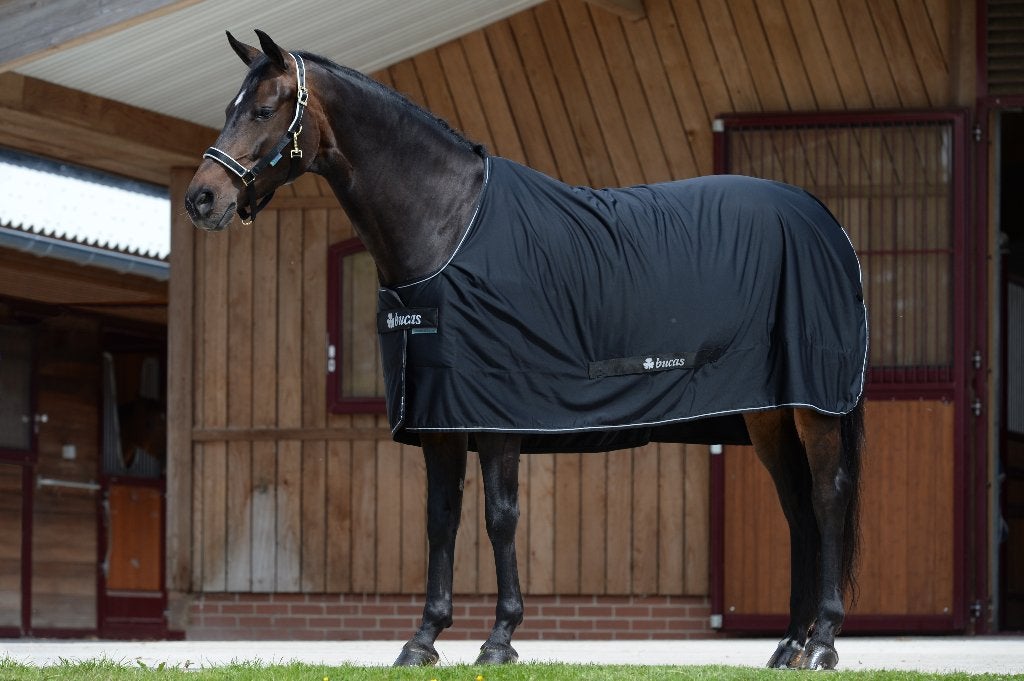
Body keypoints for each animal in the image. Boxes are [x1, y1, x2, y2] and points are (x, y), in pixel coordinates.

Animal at [185, 30, 866, 670]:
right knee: (797, 510)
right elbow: (441, 519)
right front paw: (423, 639)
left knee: (827, 498)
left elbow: (500, 516)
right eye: (230, 107)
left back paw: (823, 643)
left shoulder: (498, 414)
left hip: (814, 409)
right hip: (767, 415)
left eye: (265, 109)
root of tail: (825, 221)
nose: (201, 200)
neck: (448, 224)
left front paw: (500, 638)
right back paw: (788, 645)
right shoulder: (440, 414)